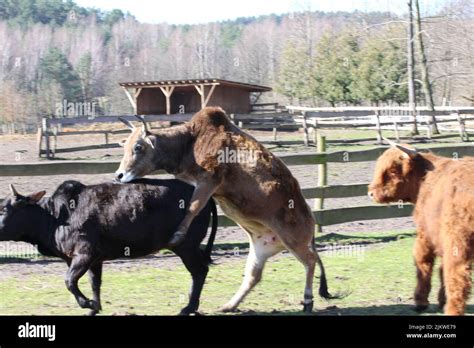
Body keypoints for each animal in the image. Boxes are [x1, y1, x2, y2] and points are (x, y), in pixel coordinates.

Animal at [0, 179, 218, 316]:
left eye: (4, 209)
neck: (56, 217)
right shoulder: (95, 260)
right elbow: (95, 283)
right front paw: (94, 307)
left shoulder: (84, 254)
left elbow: (69, 281)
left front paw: (87, 303)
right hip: (191, 246)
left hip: (185, 246)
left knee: (199, 271)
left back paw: (188, 307)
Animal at [114, 106, 336, 312]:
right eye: (126, 146)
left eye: (138, 147)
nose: (119, 175)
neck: (190, 142)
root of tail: (310, 218)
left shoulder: (210, 179)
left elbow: (193, 207)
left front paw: (178, 235)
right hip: (261, 248)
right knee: (254, 276)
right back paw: (229, 305)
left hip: (294, 241)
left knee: (310, 261)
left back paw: (307, 300)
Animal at [370, 139, 474, 316]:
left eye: (392, 171)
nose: (370, 192)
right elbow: (441, 269)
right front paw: (441, 300)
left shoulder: (425, 235)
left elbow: (423, 264)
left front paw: (421, 302)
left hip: (459, 242)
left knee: (458, 276)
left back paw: (452, 310)